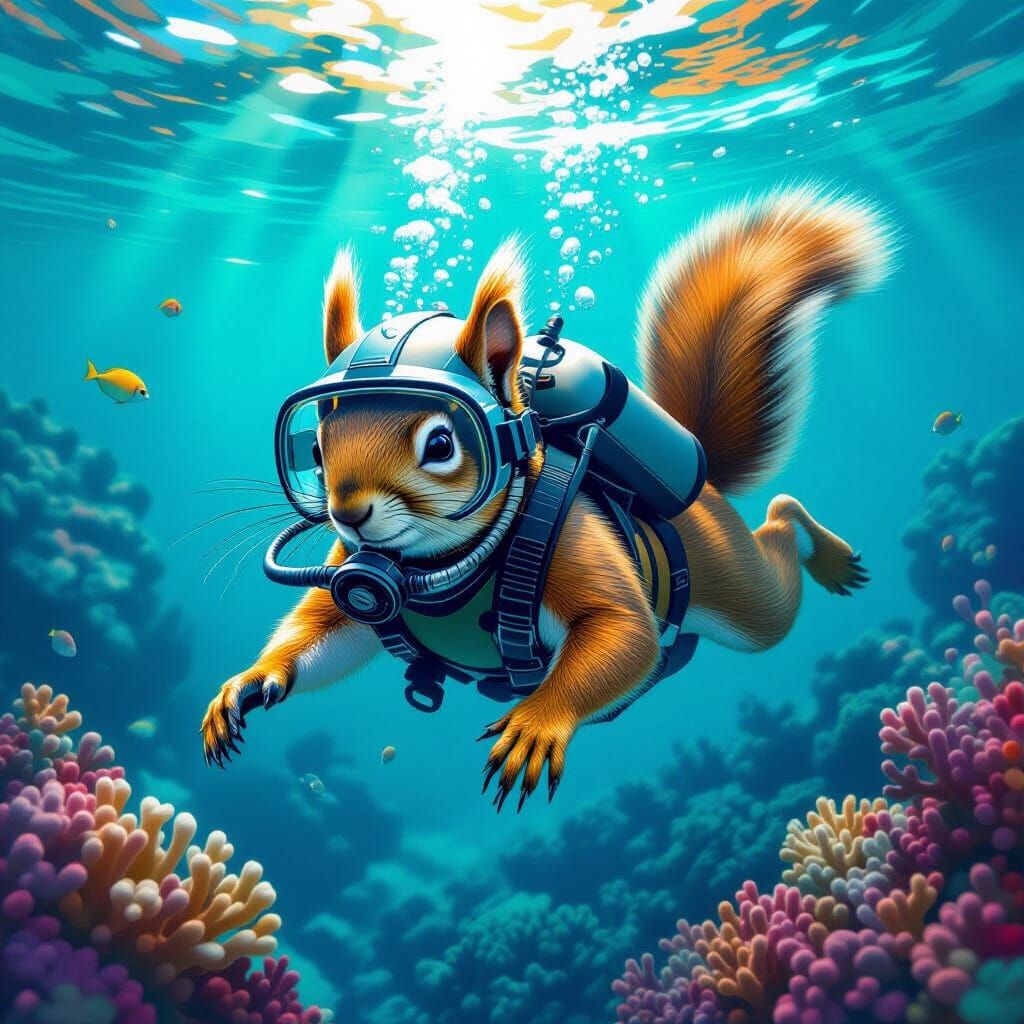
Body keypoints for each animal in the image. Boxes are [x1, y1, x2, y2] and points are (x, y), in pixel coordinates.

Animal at [201, 185, 889, 811]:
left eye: (441, 443)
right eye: (315, 450)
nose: (347, 514)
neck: (439, 570)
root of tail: (706, 487)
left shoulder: (572, 541)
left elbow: (625, 632)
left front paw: (537, 724)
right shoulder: (355, 578)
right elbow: (324, 632)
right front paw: (248, 683)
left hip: (736, 587)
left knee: (777, 546)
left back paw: (827, 553)